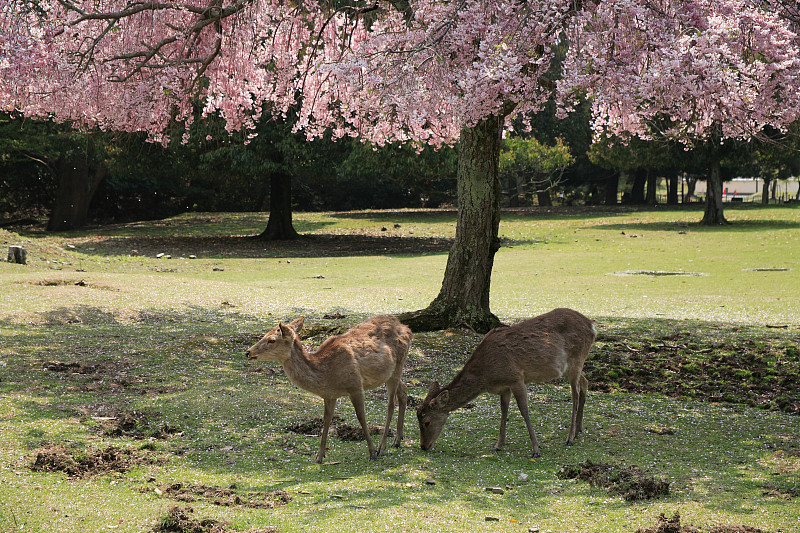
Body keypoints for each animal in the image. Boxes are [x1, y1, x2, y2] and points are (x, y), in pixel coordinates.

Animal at [245, 316, 412, 462]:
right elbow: (326, 419)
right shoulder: (329, 395)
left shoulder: (355, 385)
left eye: (272, 340)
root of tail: (407, 328)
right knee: (404, 390)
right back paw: (397, 439)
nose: (248, 352)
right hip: (390, 373)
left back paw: (382, 447)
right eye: (265, 335)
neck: (326, 375)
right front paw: (319, 456)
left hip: (398, 364)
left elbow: (361, 416)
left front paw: (371, 453)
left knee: (391, 404)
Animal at [418, 308, 592, 458]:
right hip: (573, 366)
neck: (486, 376)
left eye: (426, 422)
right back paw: (578, 430)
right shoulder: (504, 387)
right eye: (417, 418)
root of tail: (592, 326)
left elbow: (524, 411)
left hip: (576, 359)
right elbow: (503, 411)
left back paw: (569, 438)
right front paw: (498, 445)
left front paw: (536, 449)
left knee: (575, 395)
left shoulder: (516, 378)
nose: (423, 446)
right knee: (585, 382)